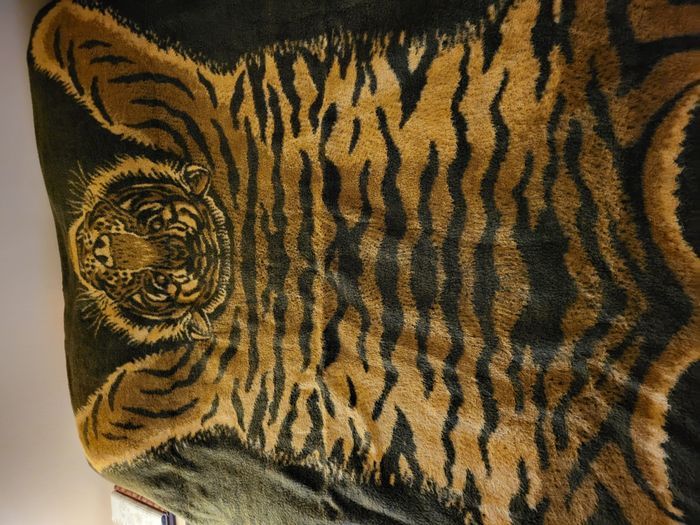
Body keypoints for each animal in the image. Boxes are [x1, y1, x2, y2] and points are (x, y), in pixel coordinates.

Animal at [28, 0, 699, 524]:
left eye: (158, 276)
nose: (93, 247)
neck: (239, 247)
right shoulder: (214, 366)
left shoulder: (208, 120)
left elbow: (133, 77)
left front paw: (53, 37)